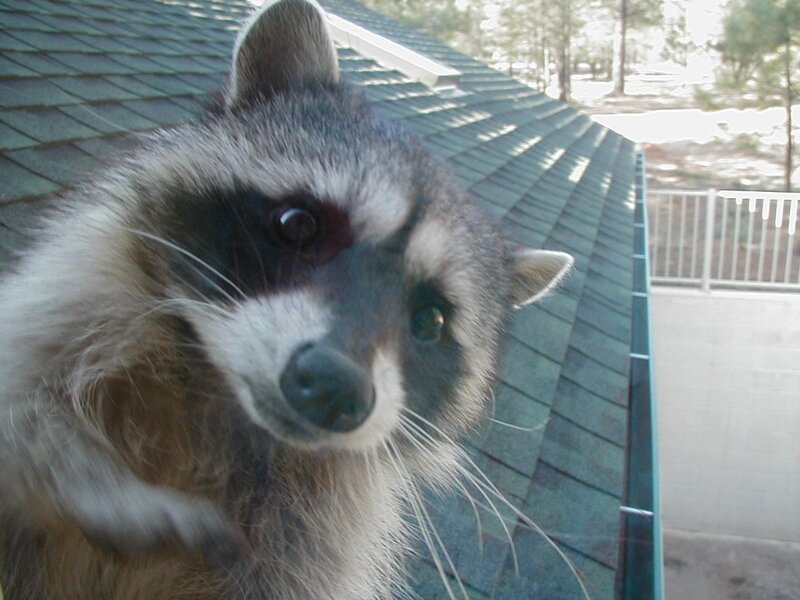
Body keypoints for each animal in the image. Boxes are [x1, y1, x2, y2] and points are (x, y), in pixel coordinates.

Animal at [0, 1, 572, 599]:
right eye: (298, 225)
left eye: (430, 320)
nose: (334, 385)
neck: (221, 402)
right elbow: (22, 412)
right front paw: (72, 471)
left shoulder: (304, 549)